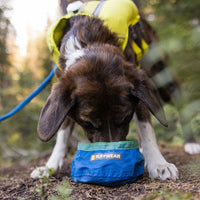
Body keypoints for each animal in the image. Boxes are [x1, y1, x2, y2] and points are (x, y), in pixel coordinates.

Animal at [30, 0, 198, 180]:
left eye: (126, 118)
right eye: (87, 123)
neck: (90, 43)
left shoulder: (138, 86)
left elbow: (146, 128)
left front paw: (158, 163)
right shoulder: (63, 93)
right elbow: (62, 133)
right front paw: (50, 167)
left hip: (163, 77)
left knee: (181, 107)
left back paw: (191, 143)